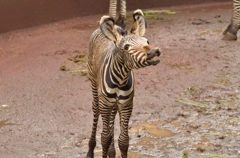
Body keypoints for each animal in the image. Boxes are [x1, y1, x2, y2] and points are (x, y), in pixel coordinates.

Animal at [87, 9, 160, 158]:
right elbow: (105, 138)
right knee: (95, 110)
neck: (120, 80)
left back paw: (112, 152)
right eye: (126, 47)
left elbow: (123, 140)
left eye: (147, 41)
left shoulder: (127, 105)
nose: (154, 51)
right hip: (94, 86)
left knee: (112, 120)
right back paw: (91, 150)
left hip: (115, 104)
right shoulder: (105, 105)